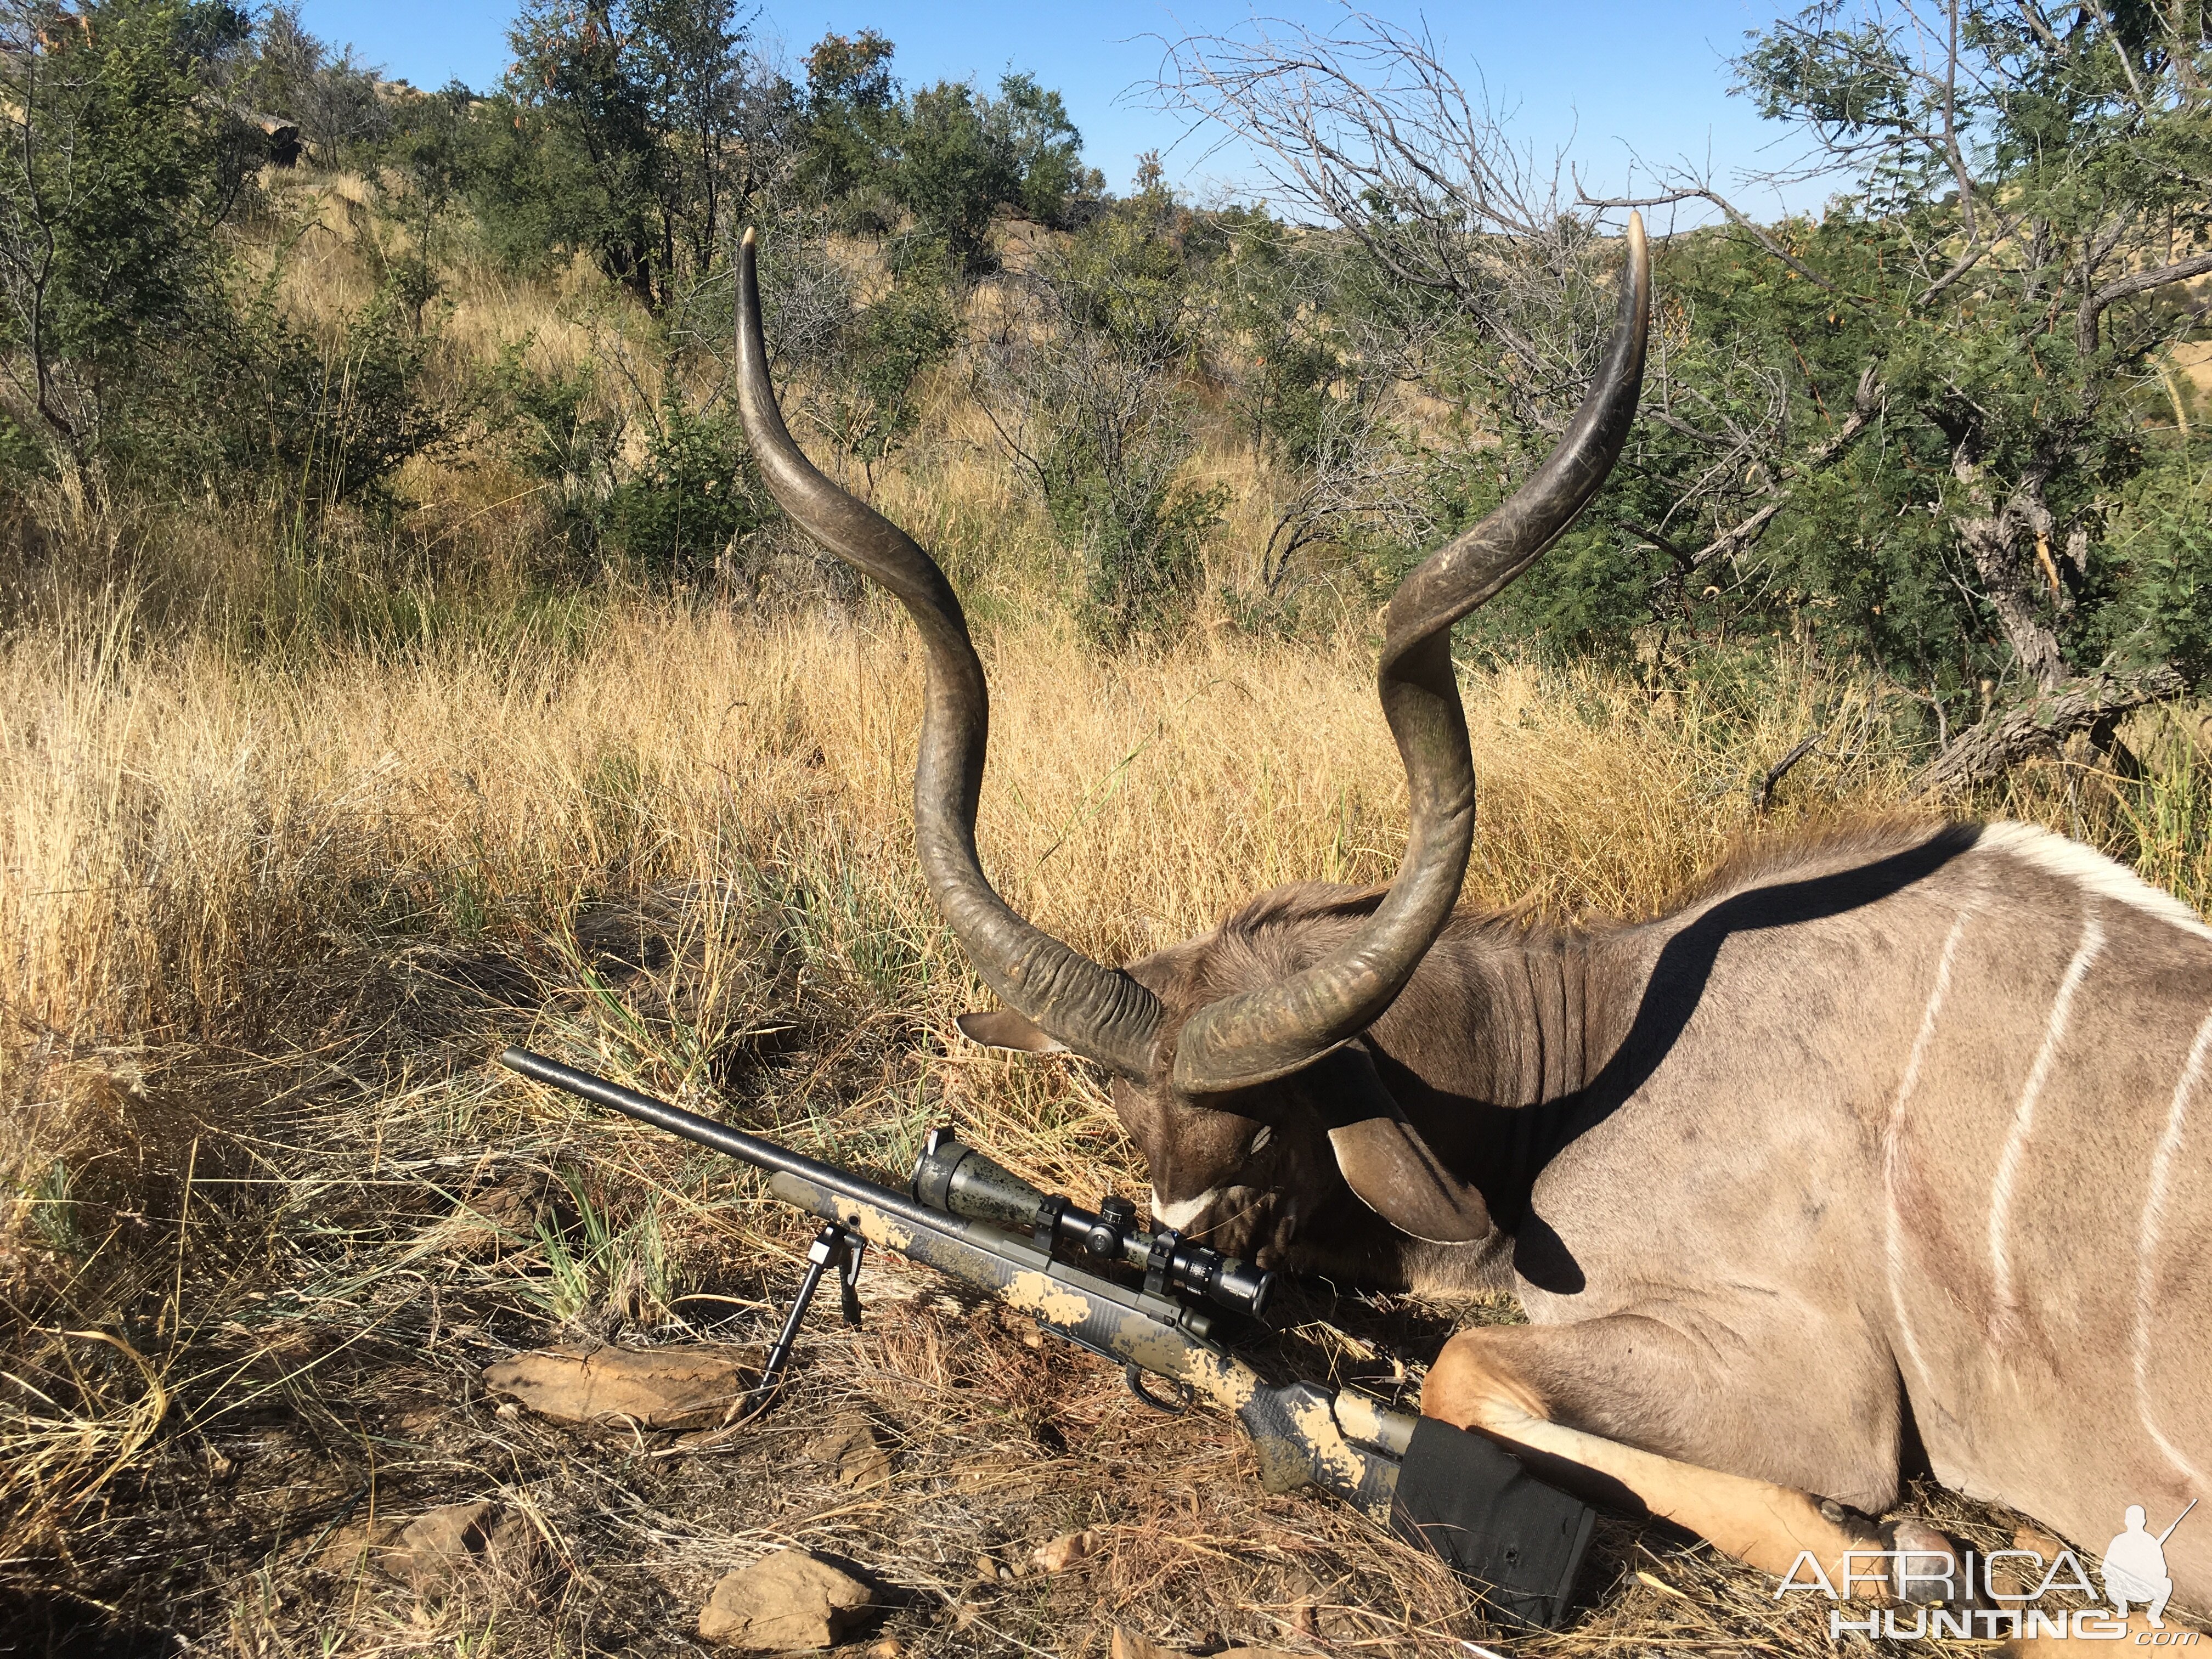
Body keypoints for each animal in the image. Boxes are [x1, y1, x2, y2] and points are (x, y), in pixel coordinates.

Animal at [730, 218, 2212, 1610]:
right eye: (1121, 1122)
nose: (1166, 1260)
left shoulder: (1813, 1372)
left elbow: (1464, 1372)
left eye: (1265, 1133)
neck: (1601, 1046)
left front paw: (1891, 1551)